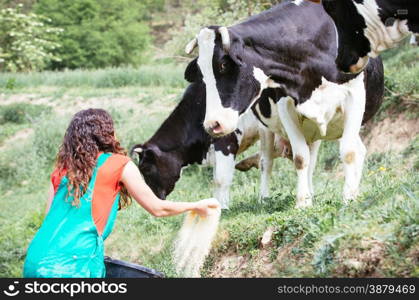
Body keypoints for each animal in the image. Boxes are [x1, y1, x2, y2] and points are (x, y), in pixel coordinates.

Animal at [131, 82, 292, 209]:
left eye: (145, 169)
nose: (154, 198)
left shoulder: (226, 142)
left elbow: (222, 178)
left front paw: (225, 207)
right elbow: (215, 180)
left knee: (268, 162)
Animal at [184, 0, 384, 209]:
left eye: (223, 65)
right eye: (202, 72)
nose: (212, 125)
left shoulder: (355, 95)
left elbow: (349, 152)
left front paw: (349, 198)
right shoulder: (285, 105)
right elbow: (300, 157)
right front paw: (303, 202)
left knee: (351, 150)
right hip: (266, 127)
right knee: (267, 161)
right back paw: (265, 198)